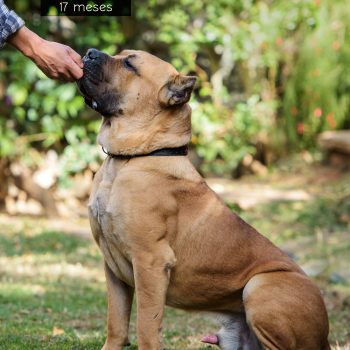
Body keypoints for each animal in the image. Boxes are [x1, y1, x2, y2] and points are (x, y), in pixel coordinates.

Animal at [78, 47, 330, 350]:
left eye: (129, 63)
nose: (90, 52)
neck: (128, 161)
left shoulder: (150, 262)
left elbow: (146, 327)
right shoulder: (113, 270)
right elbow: (116, 323)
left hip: (258, 286)